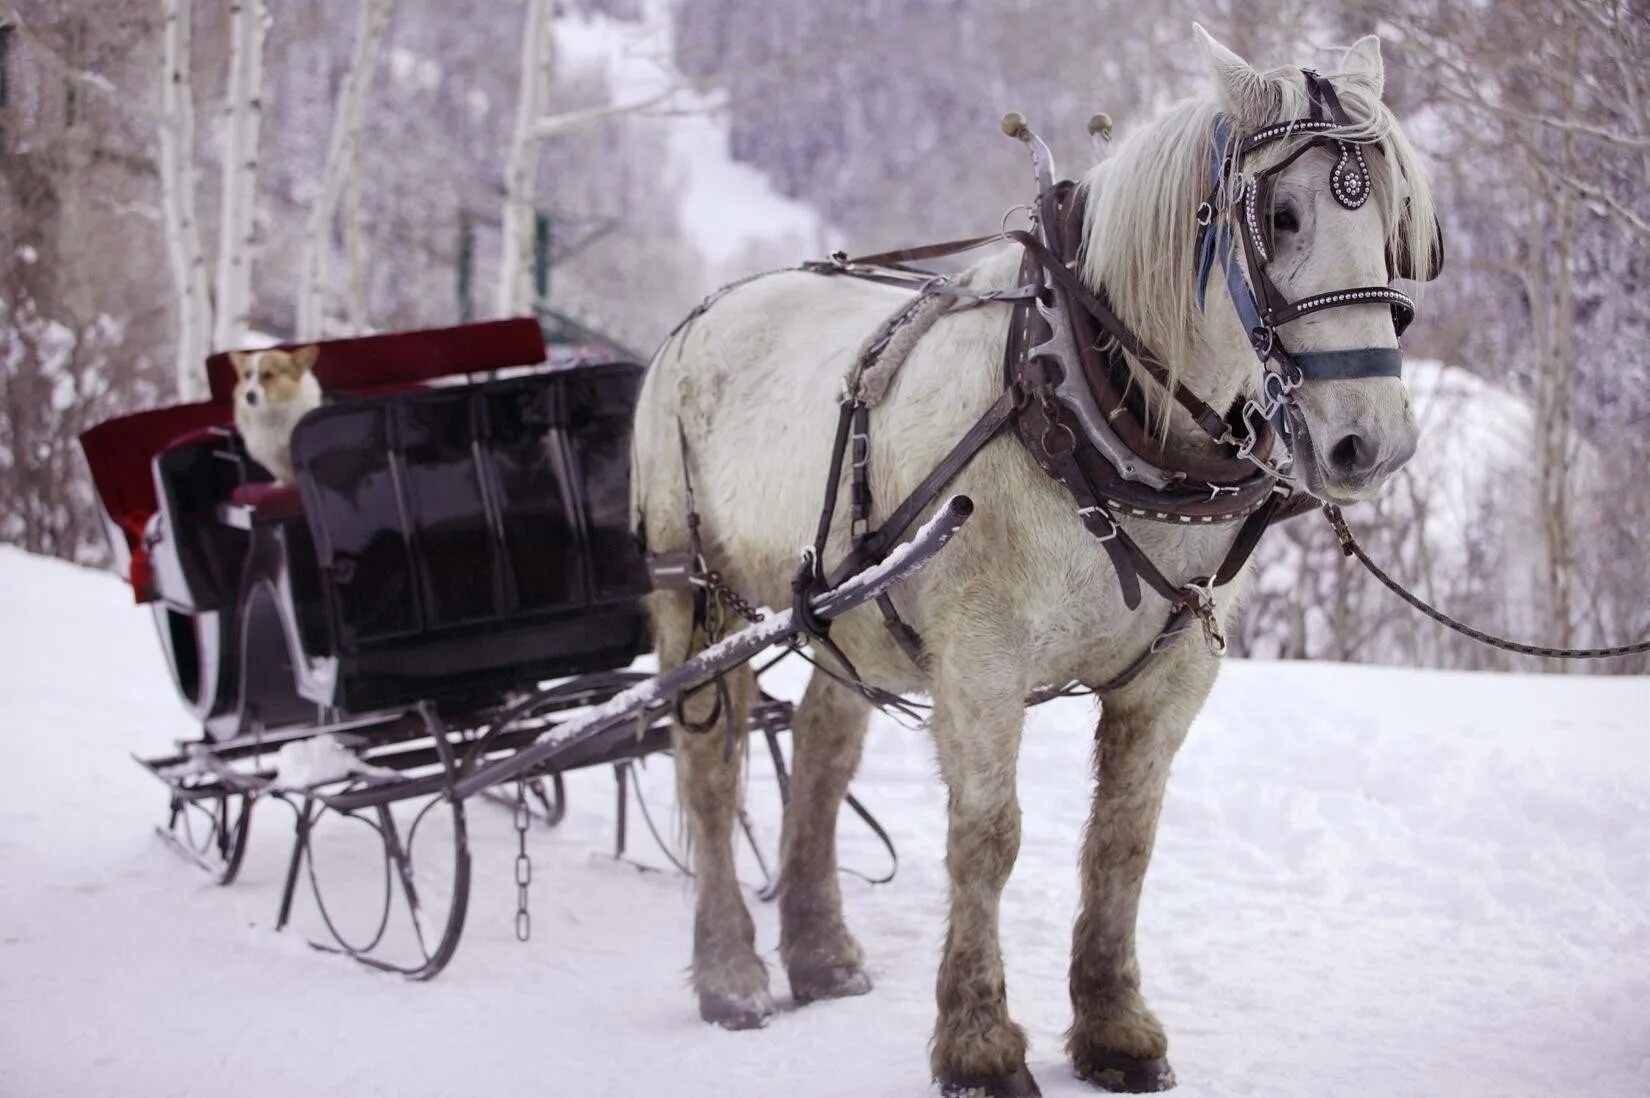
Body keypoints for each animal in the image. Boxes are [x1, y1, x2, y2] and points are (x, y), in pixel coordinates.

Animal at [636, 23, 1438, 1096]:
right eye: (1281, 214)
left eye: (1396, 221)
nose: (1371, 444)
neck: (1079, 397)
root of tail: (701, 317)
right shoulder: (982, 664)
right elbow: (988, 838)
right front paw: (979, 1042)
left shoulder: (1172, 676)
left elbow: (1123, 840)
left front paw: (1115, 1028)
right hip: (692, 593)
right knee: (710, 768)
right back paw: (731, 974)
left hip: (847, 610)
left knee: (820, 750)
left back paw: (823, 955)